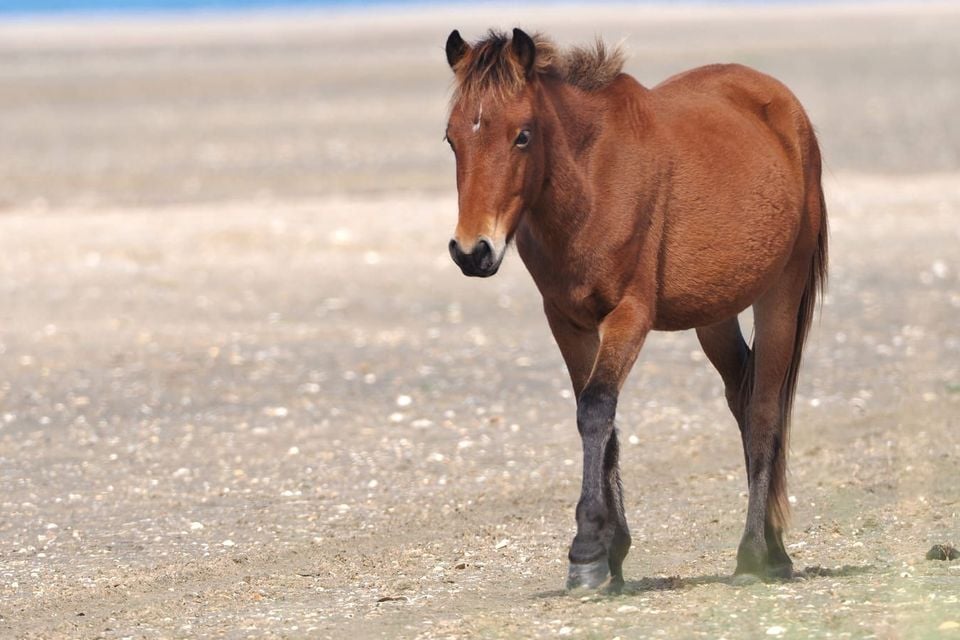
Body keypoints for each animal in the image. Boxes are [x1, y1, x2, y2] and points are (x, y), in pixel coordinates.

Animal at [442, 28, 827, 592]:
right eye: (451, 138)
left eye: (522, 136)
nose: (472, 252)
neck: (592, 183)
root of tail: (784, 108)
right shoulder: (568, 322)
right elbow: (599, 423)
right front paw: (611, 553)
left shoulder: (629, 316)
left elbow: (597, 408)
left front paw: (586, 551)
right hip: (715, 315)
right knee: (743, 396)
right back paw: (775, 548)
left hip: (780, 293)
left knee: (763, 411)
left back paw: (755, 555)